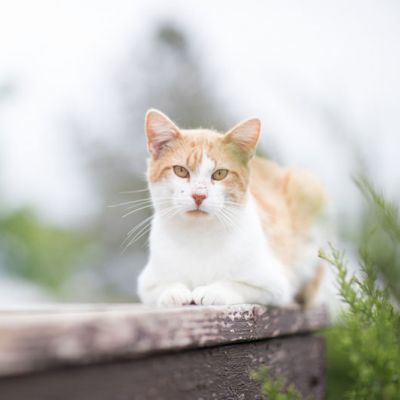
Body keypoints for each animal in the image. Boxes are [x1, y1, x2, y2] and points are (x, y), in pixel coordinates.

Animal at [138, 109, 334, 310]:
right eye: (180, 171)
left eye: (220, 174)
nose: (199, 195)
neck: (199, 236)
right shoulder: (147, 283)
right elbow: (161, 287)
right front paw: (173, 292)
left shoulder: (274, 284)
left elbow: (236, 284)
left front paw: (213, 291)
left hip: (307, 186)